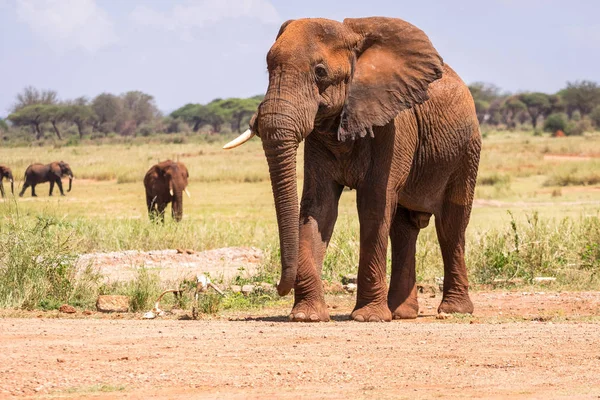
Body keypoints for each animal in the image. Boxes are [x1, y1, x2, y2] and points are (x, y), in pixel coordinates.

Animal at [225, 17, 482, 322]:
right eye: (268, 68)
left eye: (320, 72)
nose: (278, 287)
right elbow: (319, 206)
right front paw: (307, 316)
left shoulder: (393, 126)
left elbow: (374, 203)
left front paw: (368, 317)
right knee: (403, 228)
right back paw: (401, 313)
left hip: (467, 149)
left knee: (452, 224)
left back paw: (453, 310)